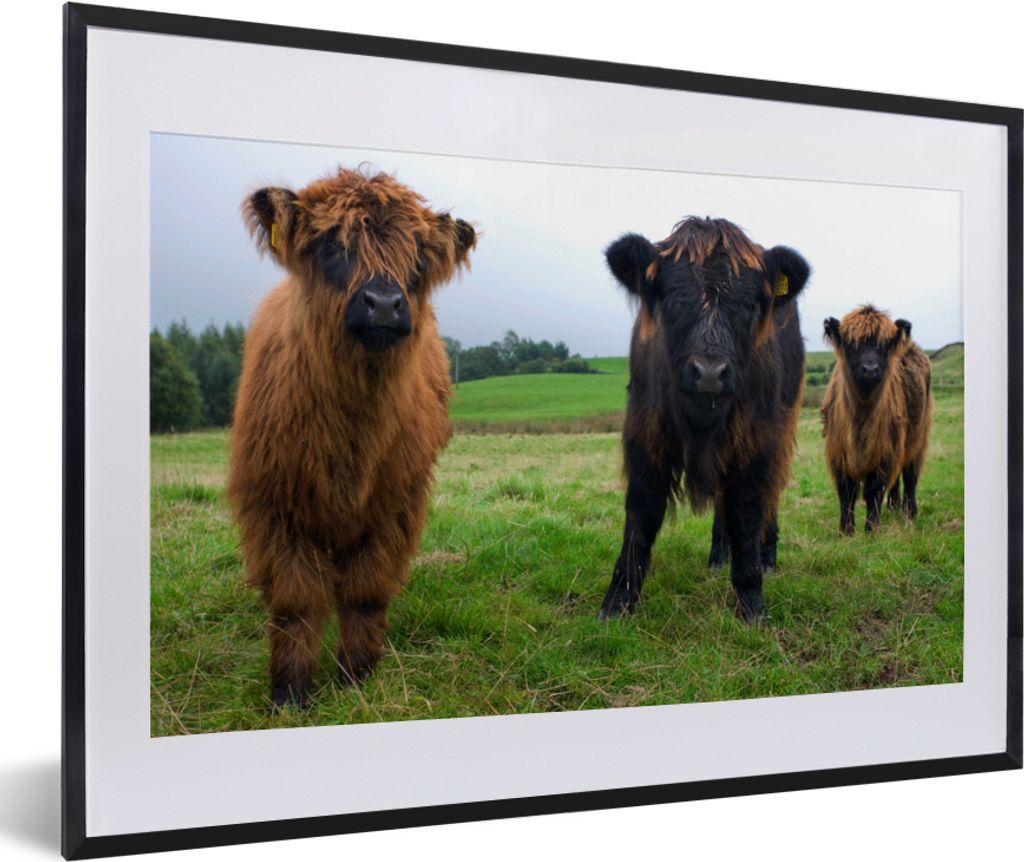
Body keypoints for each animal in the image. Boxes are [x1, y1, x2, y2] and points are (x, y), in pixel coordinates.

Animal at [227, 167, 476, 706]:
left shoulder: (394, 506)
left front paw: (357, 675)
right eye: (330, 244)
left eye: (418, 254)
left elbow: (365, 591)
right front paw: (289, 691)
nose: (383, 303)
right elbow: (294, 600)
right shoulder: (273, 506)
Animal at [598, 217, 810, 623]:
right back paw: (717, 555)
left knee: (769, 496)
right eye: (673, 298)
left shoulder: (757, 441)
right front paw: (617, 601)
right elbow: (641, 514)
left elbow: (748, 511)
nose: (710, 373)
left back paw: (767, 556)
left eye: (748, 304)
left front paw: (750, 600)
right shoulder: (645, 435)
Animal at [821, 305, 932, 533]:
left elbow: (874, 491)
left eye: (884, 345)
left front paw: (871, 529)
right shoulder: (838, 453)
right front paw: (846, 530)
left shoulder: (884, 453)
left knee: (910, 475)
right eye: (851, 344)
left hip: (918, 438)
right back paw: (893, 507)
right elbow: (847, 493)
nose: (870, 369)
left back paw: (910, 513)